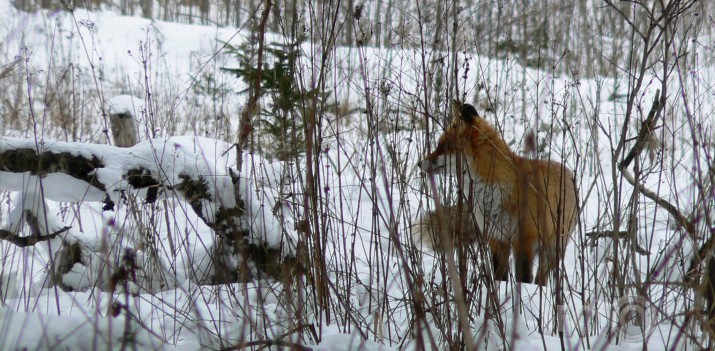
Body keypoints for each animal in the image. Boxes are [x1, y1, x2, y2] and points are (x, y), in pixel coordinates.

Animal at [414, 99, 576, 286]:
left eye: (443, 146)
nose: (419, 163)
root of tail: (568, 171)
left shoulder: (525, 240)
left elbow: (523, 278)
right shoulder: (496, 238)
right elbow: (499, 275)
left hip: (553, 247)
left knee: (541, 277)